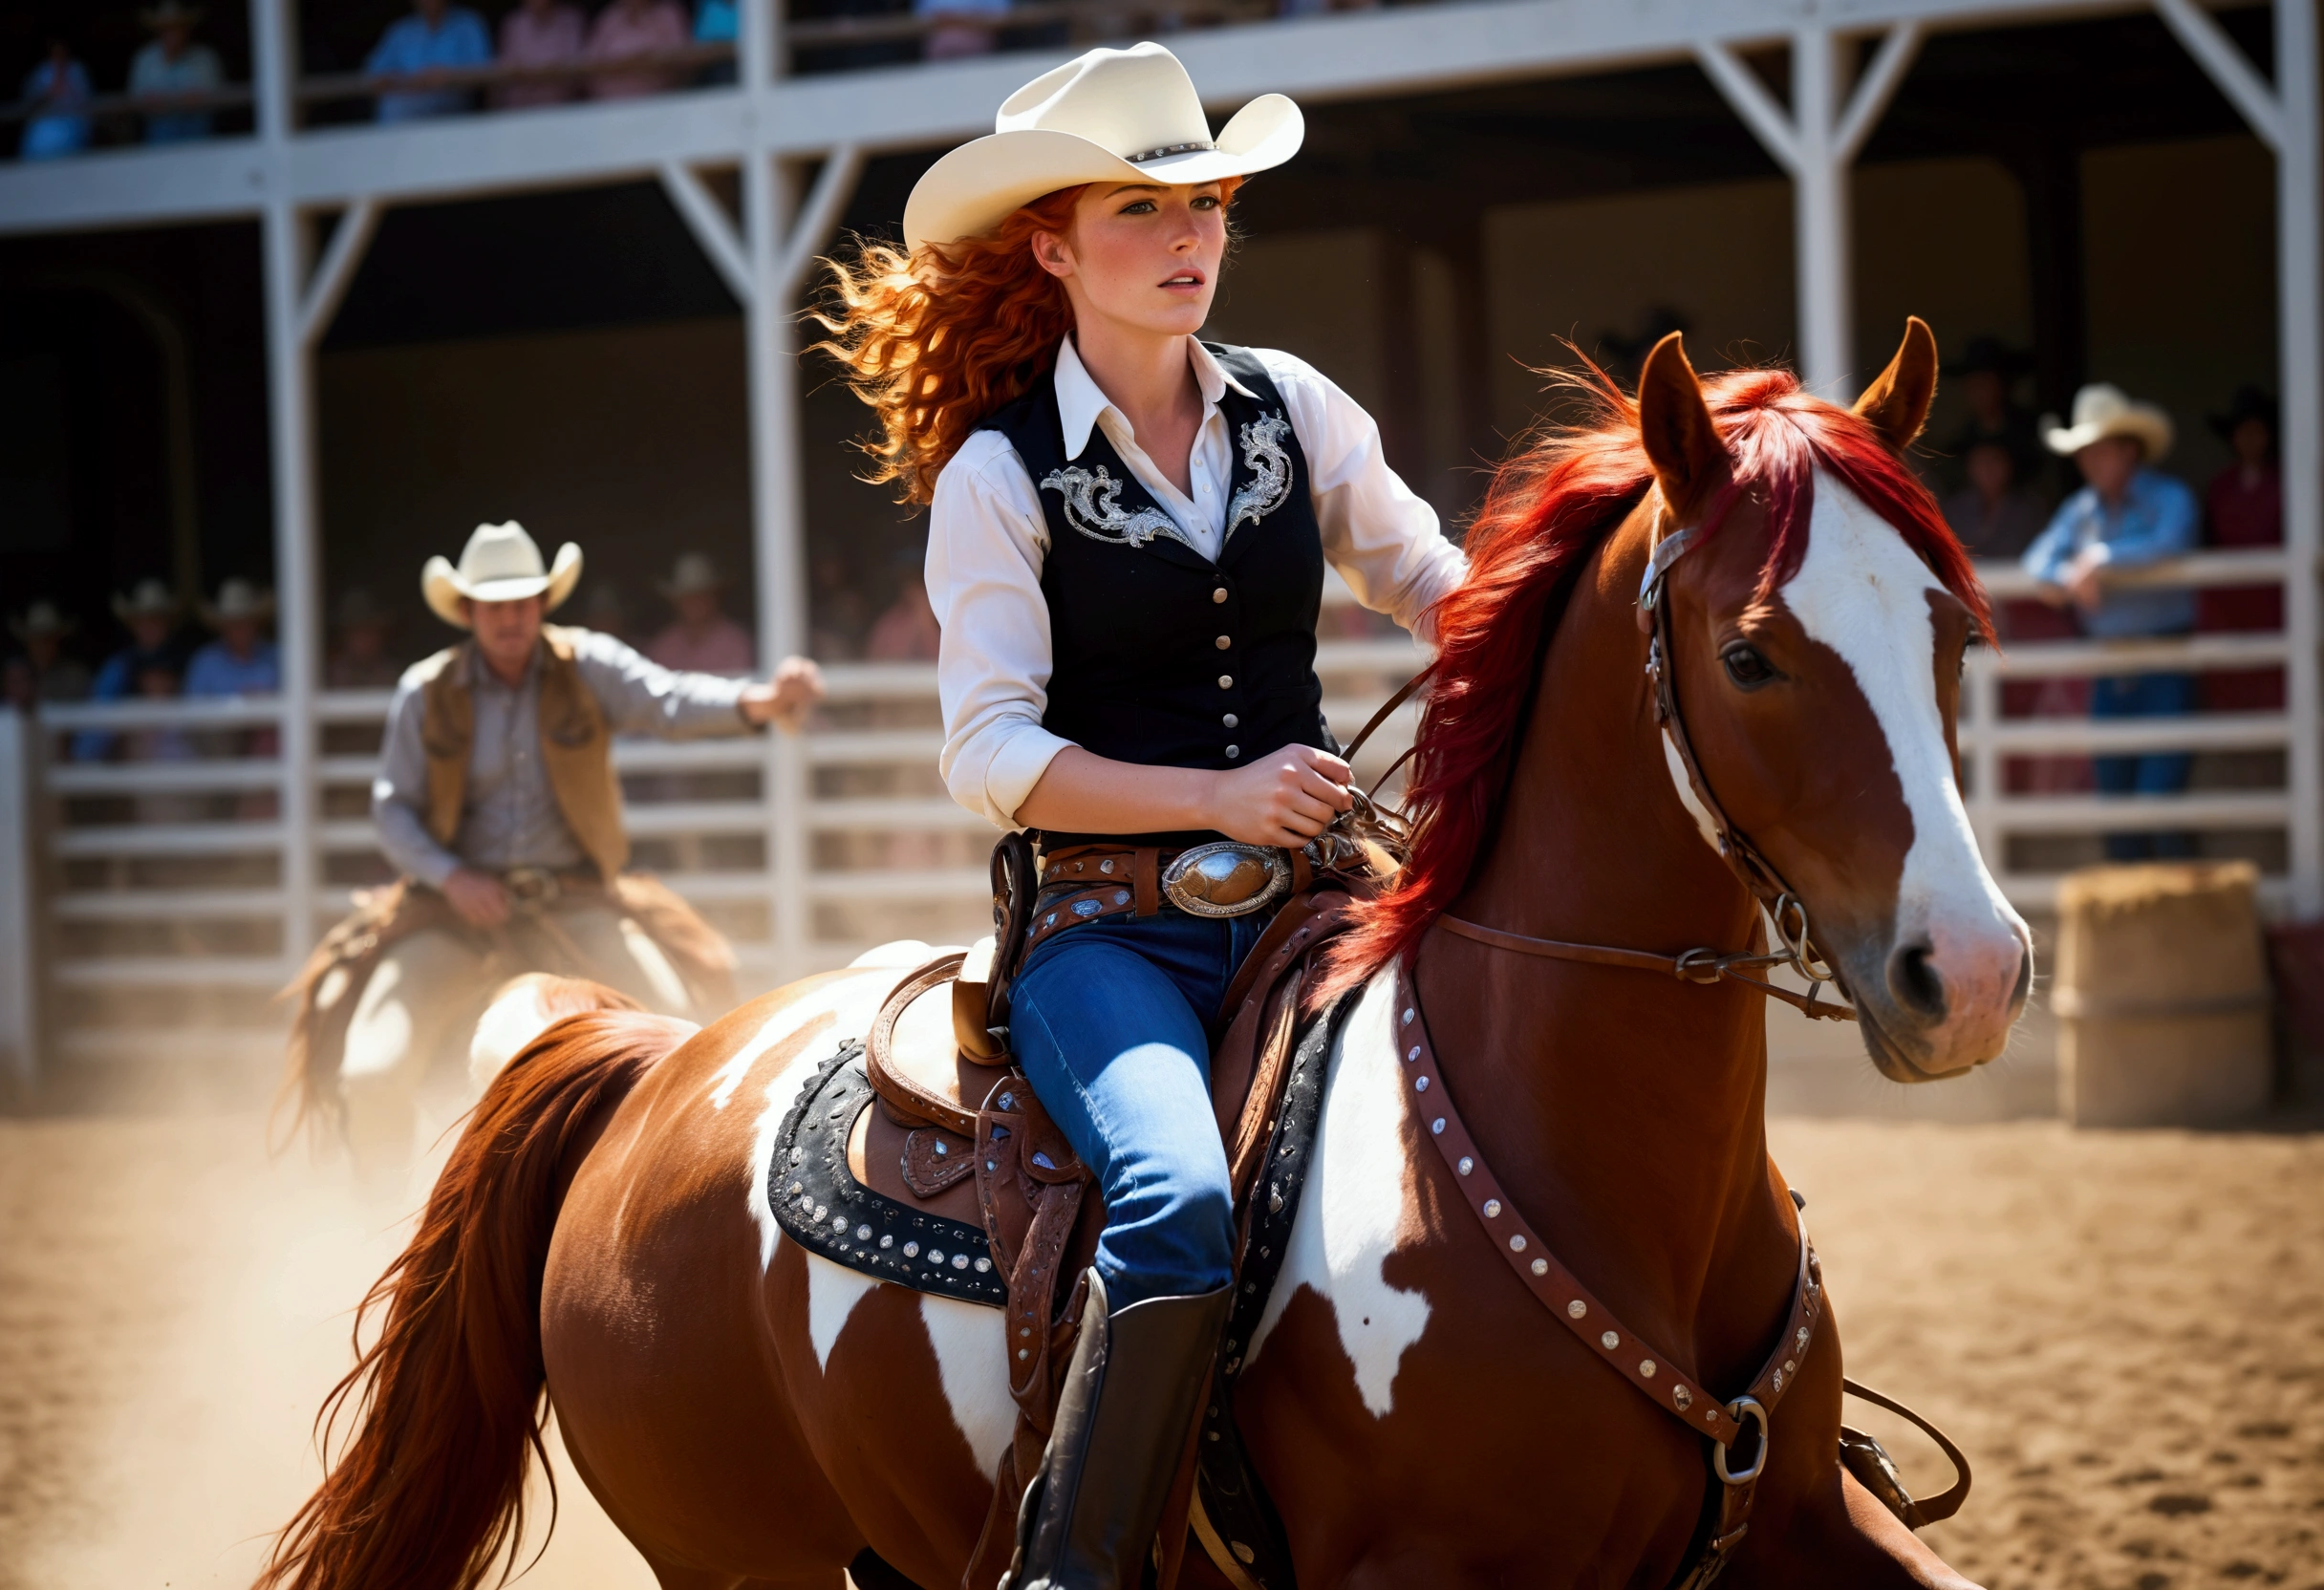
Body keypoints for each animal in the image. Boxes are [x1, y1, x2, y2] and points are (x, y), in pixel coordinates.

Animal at [264, 323, 2026, 1590]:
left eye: (1953, 625)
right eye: (1751, 650)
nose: (1974, 970)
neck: (1583, 1169)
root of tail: (652, 1072)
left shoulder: (1806, 1527)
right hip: (735, 1560)